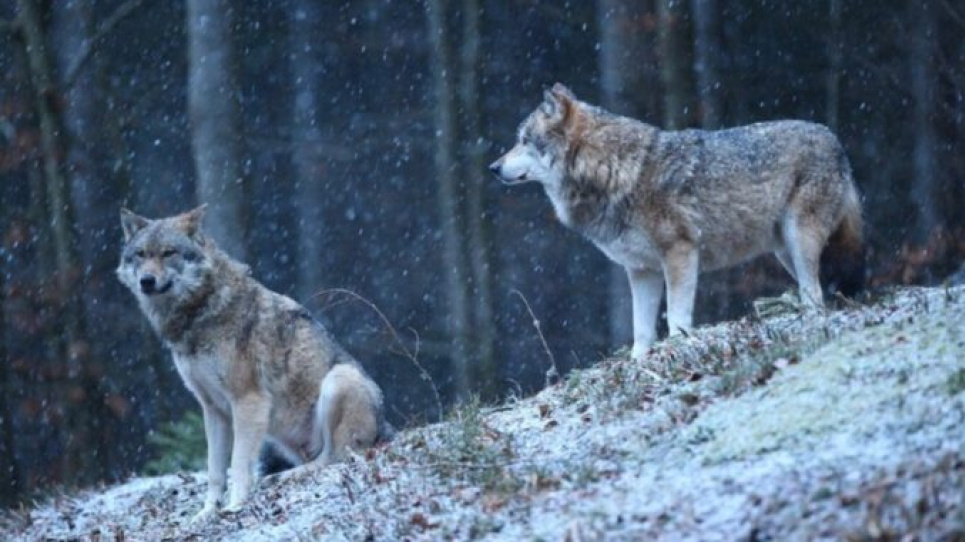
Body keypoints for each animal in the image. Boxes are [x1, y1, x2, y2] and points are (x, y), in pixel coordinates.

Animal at [119, 206, 388, 520]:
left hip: (338, 380)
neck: (200, 311)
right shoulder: (212, 409)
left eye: (168, 253)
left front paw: (235, 506)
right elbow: (214, 470)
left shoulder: (248, 401)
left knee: (335, 457)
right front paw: (207, 512)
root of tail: (386, 427)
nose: (146, 280)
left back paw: (284, 476)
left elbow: (238, 463)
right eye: (140, 254)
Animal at [494, 84, 864, 362]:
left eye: (524, 140)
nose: (493, 167)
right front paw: (640, 362)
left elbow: (676, 315)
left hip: (799, 241)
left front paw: (678, 346)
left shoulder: (680, 253)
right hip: (784, 251)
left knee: (815, 294)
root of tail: (835, 138)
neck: (613, 170)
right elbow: (641, 329)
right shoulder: (641, 270)